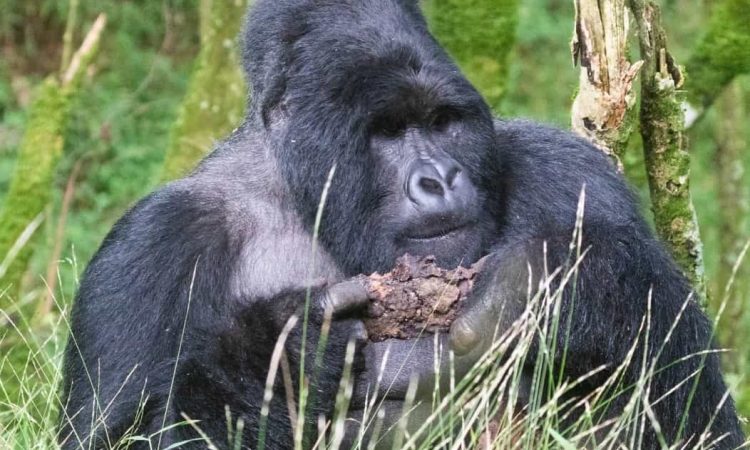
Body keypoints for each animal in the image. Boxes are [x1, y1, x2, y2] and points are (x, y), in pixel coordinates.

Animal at [60, 0, 748, 448]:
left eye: (443, 122)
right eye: (387, 131)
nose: (438, 179)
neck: (313, 205)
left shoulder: (572, 173)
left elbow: (701, 419)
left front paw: (564, 284)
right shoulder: (152, 246)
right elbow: (115, 432)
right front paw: (286, 357)